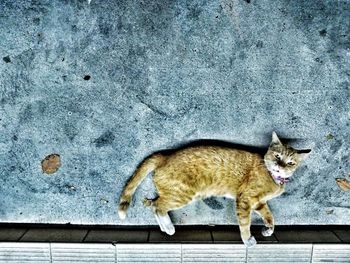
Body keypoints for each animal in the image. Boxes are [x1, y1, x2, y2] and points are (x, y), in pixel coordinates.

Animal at [119, 133, 310, 249]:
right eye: (277, 156)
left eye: (291, 163)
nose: (280, 166)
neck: (274, 178)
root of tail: (165, 156)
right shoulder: (245, 199)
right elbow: (245, 223)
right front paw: (247, 240)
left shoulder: (259, 202)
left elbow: (270, 216)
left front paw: (268, 229)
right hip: (183, 195)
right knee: (157, 206)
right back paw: (169, 227)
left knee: (153, 204)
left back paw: (166, 228)